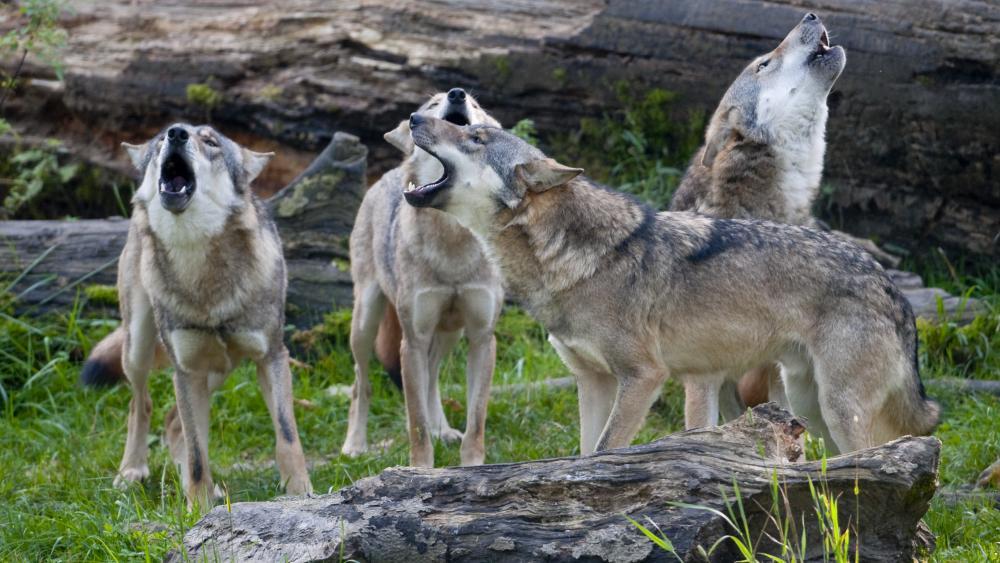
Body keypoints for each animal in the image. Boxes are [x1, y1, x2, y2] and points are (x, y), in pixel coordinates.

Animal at [80, 122, 310, 506]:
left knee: (174, 424)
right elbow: (199, 456)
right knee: (143, 407)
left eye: (211, 141)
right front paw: (197, 509)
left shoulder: (273, 357)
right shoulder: (186, 371)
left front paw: (300, 493)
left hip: (219, 369)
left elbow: (287, 435)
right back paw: (131, 472)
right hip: (140, 349)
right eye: (160, 140)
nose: (176, 133)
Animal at [340, 89, 504, 468]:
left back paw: (442, 429)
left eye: (476, 106)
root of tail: (385, 174)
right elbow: (416, 425)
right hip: (364, 323)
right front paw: (420, 471)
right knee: (361, 383)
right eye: (432, 104)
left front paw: (472, 467)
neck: (453, 242)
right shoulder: (411, 342)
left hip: (449, 333)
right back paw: (354, 445)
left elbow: (476, 422)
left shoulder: (482, 338)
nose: (458, 94)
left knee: (432, 379)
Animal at [400, 115, 936, 458]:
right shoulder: (593, 382)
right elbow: (583, 457)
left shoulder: (644, 377)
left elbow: (606, 451)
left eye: (475, 135)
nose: (412, 117)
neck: (571, 259)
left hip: (836, 407)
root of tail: (892, 287)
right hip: (809, 404)